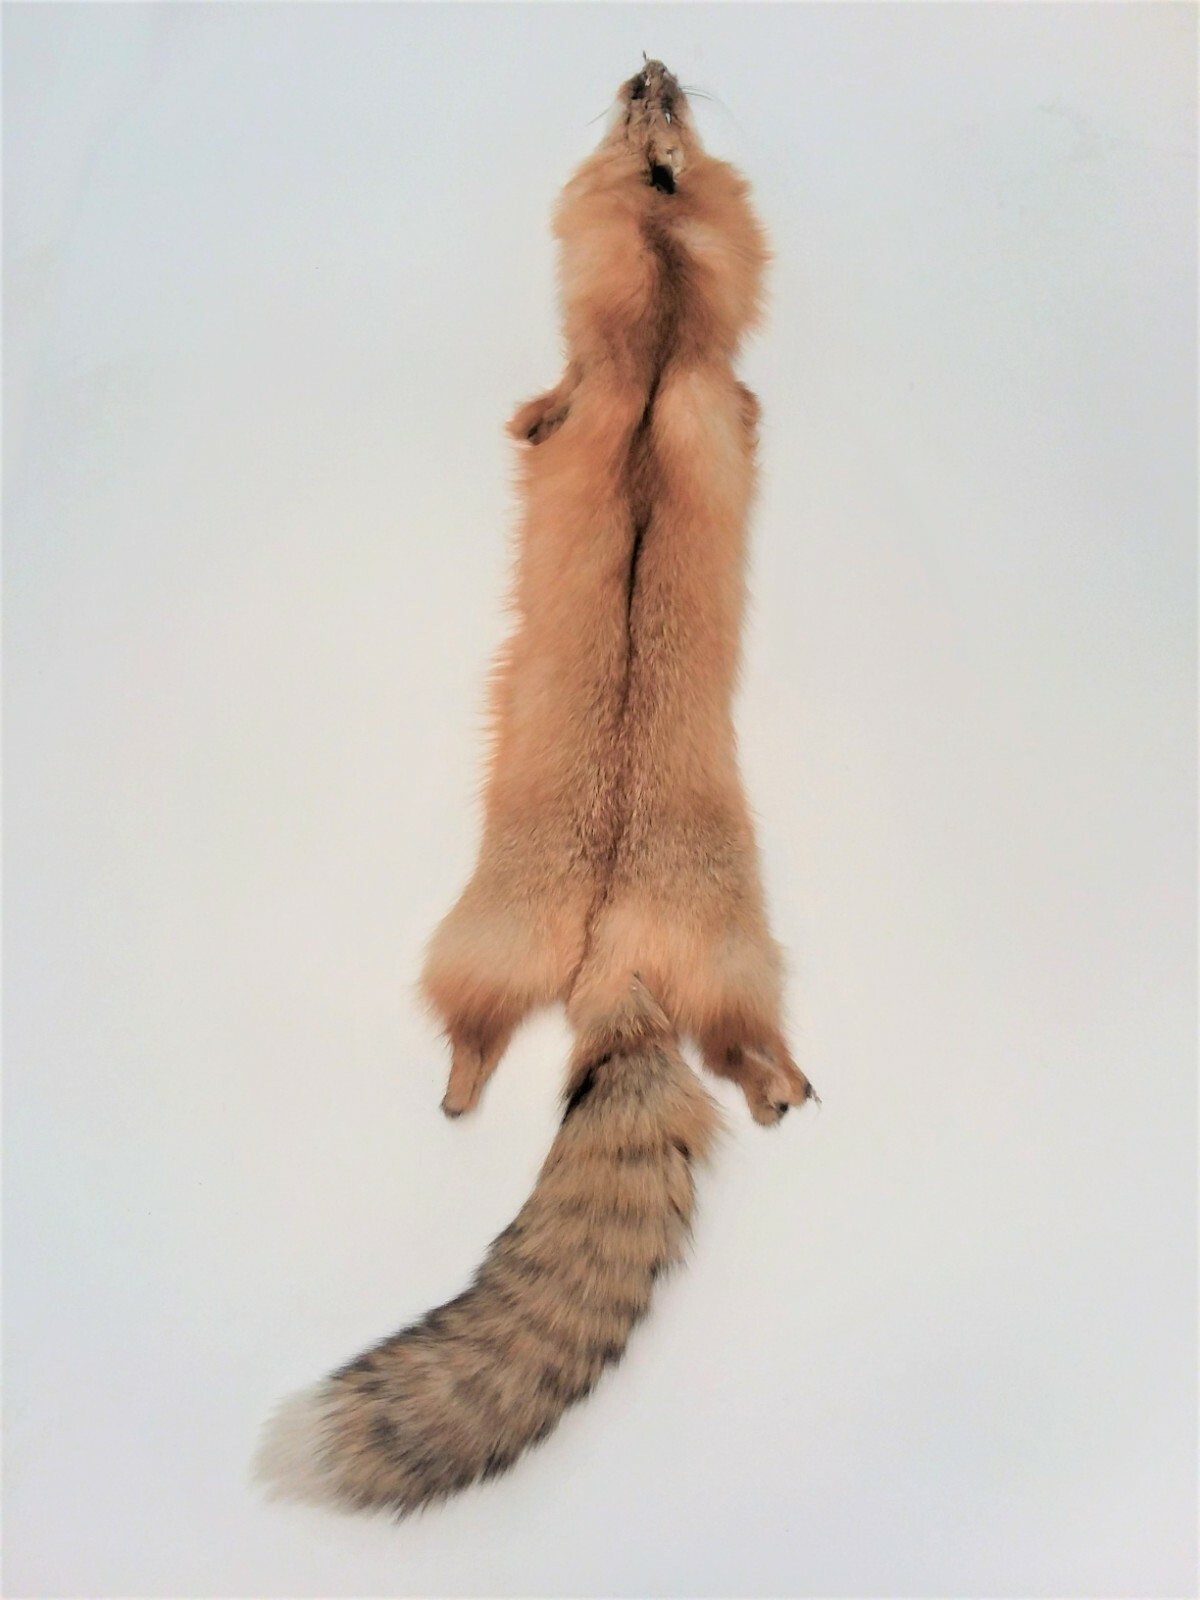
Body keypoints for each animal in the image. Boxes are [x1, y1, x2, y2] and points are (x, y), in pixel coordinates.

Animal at [257, 58, 815, 1517]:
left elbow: (547, 398)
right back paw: (783, 1089)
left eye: (658, 136)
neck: (663, 351)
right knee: (742, 1050)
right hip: (736, 974)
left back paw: (460, 1097)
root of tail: (614, 953)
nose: (649, 61)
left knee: (475, 1040)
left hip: (480, 950)